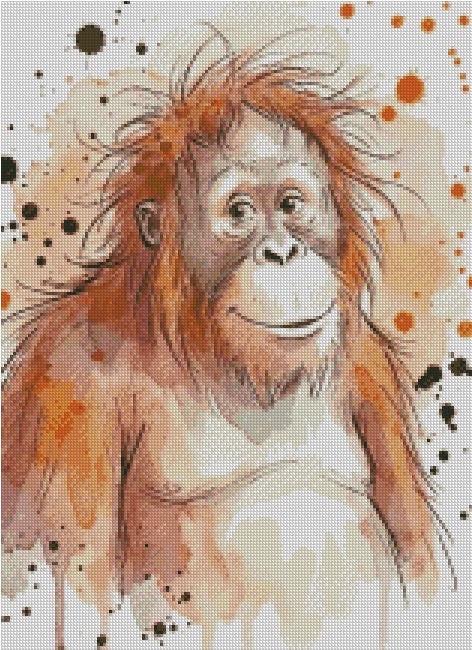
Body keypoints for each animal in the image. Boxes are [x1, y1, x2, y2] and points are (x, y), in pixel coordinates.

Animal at [2, 23, 452, 649]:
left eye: (290, 204)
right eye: (239, 213)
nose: (282, 251)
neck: (217, 353)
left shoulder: (368, 366)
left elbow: (420, 563)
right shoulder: (68, 380)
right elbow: (78, 581)